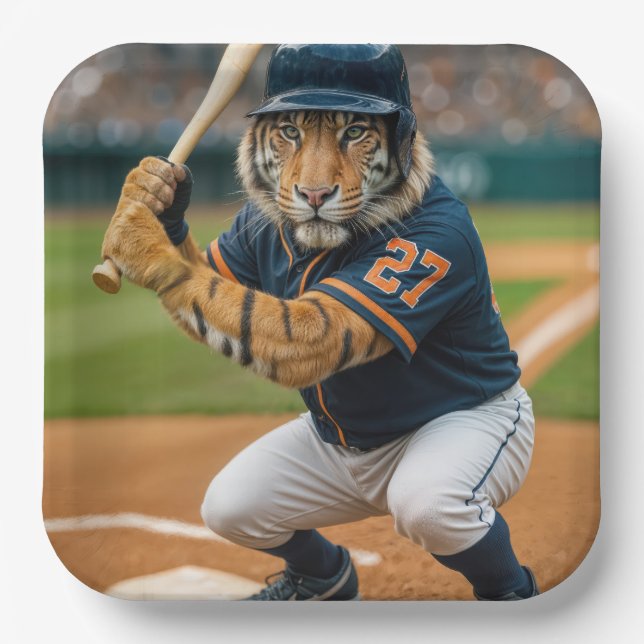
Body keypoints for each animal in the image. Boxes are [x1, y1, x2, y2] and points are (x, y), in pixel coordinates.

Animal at [102, 110, 435, 391]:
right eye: (290, 132)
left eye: (354, 132)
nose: (315, 194)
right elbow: (206, 285)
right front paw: (147, 187)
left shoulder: (419, 244)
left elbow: (310, 327)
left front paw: (141, 240)